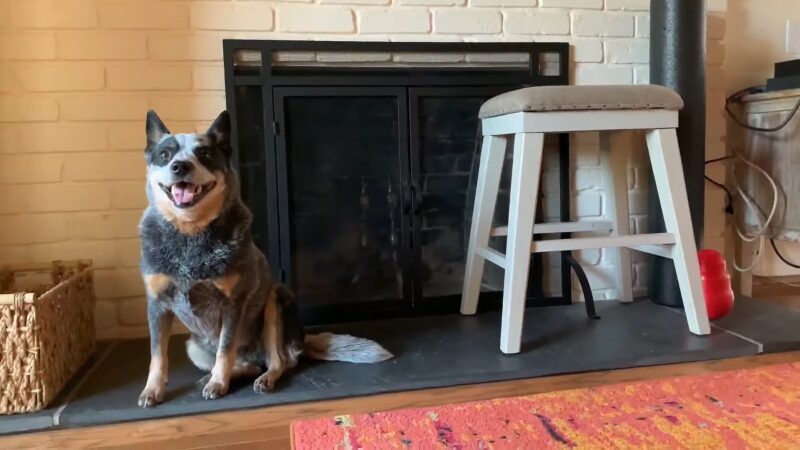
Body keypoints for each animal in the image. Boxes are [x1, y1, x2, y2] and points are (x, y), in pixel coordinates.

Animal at [138, 110, 394, 408]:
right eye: (165, 154)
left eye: (205, 153)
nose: (180, 166)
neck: (190, 235)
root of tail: (301, 339)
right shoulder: (156, 304)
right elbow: (157, 355)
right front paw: (152, 390)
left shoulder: (232, 302)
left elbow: (225, 348)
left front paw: (219, 383)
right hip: (193, 347)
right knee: (246, 364)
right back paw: (217, 376)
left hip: (275, 300)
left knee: (278, 361)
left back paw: (259, 378)